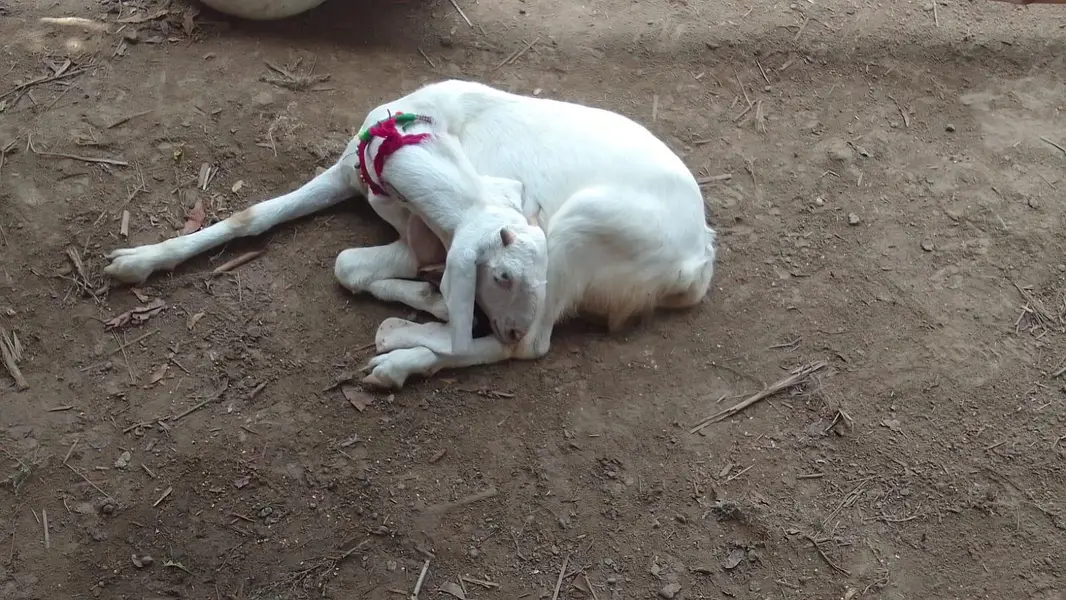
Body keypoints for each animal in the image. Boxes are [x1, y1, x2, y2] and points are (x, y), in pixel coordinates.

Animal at [103, 79, 717, 389]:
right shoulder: (353, 177)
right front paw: (135, 260)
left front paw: (420, 316)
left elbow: (356, 265)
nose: (507, 320)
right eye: (500, 273)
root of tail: (696, 263)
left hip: (582, 227)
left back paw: (399, 356)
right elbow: (261, 219)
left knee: (529, 347)